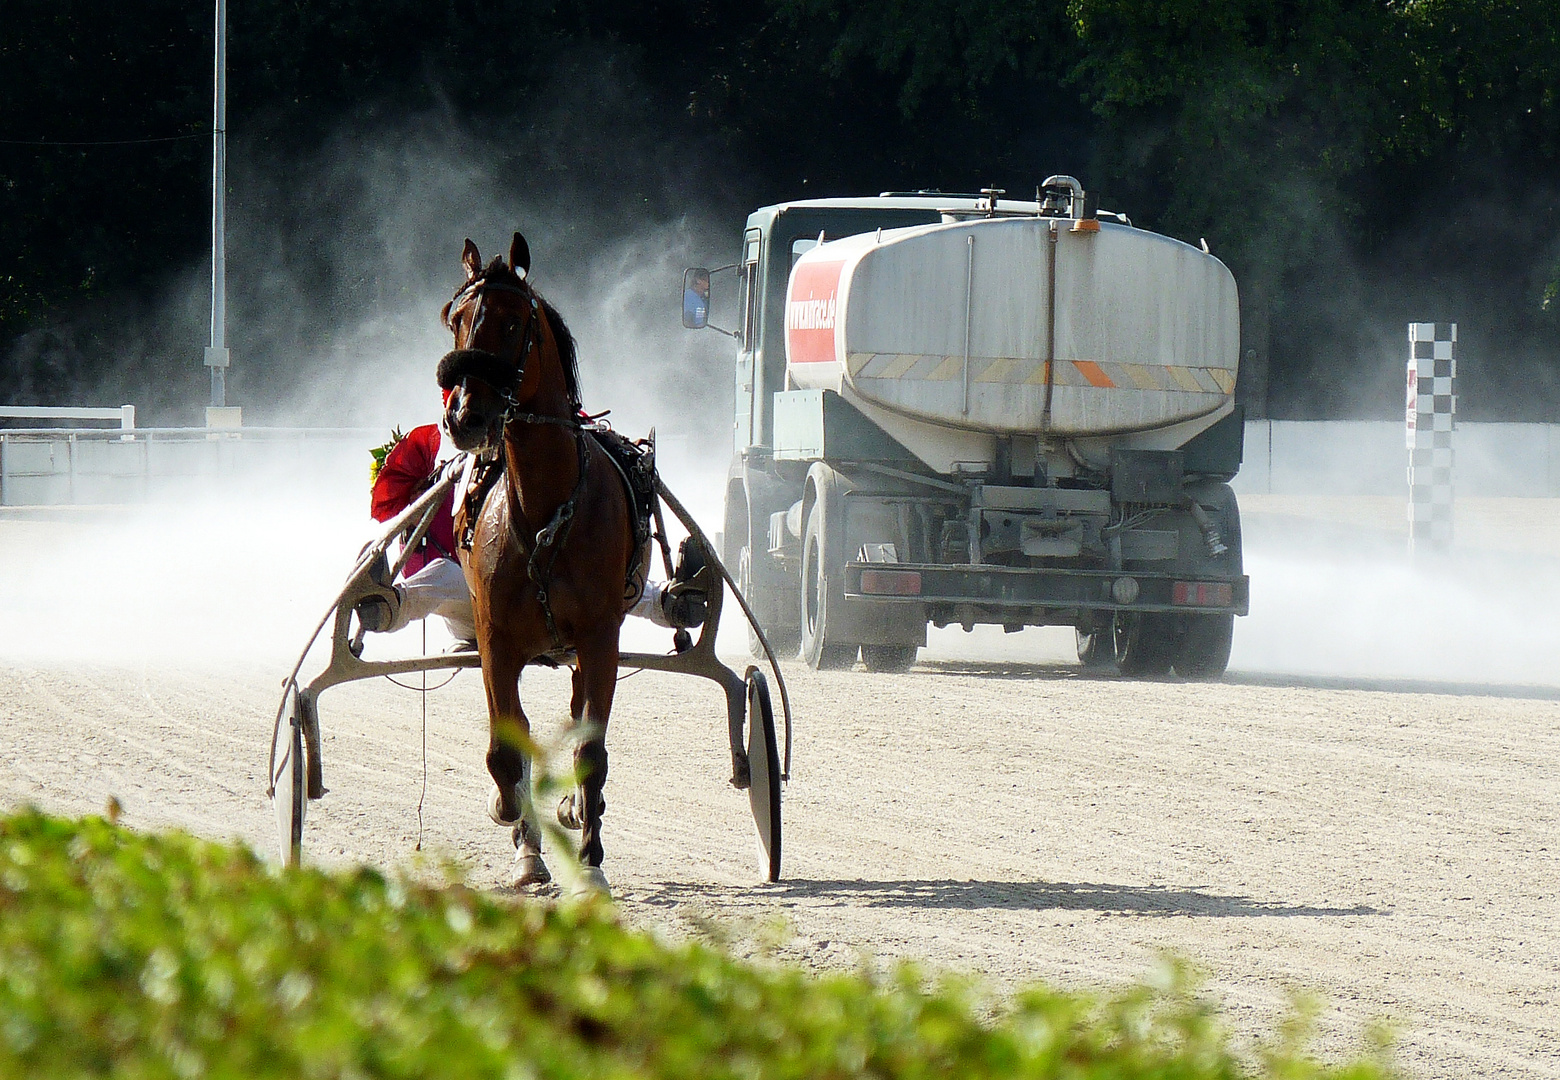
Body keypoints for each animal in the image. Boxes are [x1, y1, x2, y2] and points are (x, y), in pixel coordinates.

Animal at [436, 232, 630, 892]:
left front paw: (591, 860)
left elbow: (591, 749)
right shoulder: (495, 639)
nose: (465, 415)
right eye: (456, 320)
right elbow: (505, 749)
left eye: (514, 321)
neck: (545, 513)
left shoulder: (599, 636)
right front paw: (522, 841)